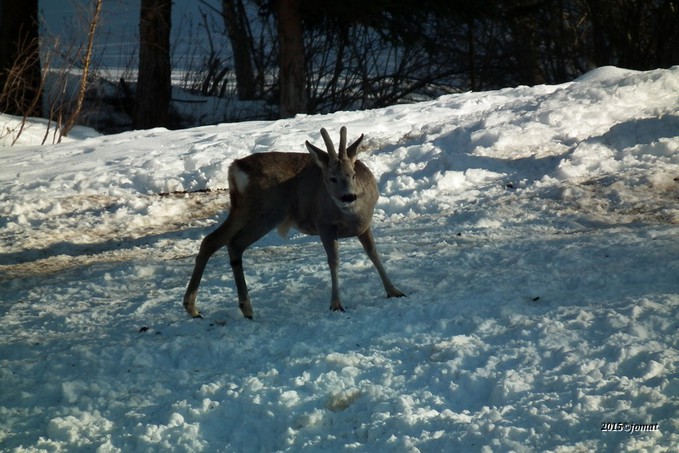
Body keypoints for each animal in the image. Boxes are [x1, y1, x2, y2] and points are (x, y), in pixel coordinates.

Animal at [182, 125, 404, 318]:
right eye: (331, 178)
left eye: (353, 174)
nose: (348, 196)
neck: (352, 217)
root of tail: (235, 167)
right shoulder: (324, 225)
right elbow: (334, 261)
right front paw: (336, 304)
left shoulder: (365, 226)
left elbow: (374, 254)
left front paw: (394, 290)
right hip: (269, 211)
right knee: (235, 243)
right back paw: (246, 308)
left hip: (241, 209)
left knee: (211, 241)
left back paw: (193, 308)